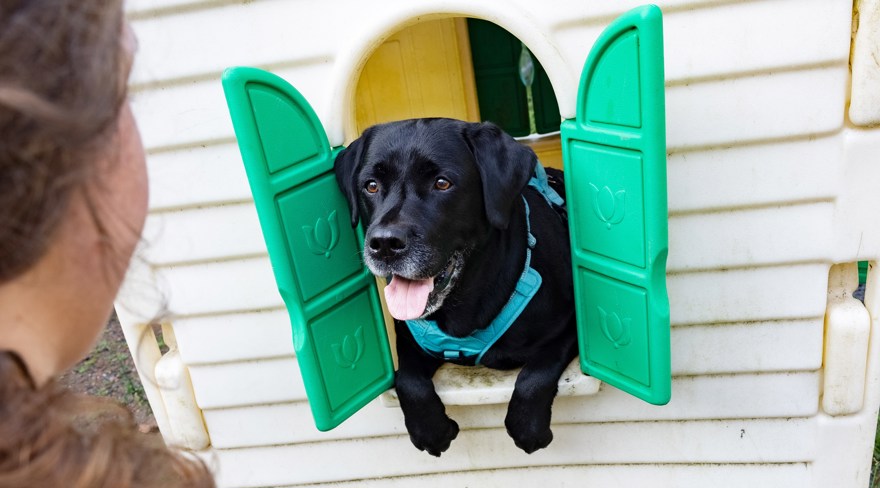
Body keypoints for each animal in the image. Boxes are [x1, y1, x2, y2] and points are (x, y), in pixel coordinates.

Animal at [332, 117, 576, 454]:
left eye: (442, 183)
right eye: (371, 185)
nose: (384, 245)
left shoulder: (569, 327)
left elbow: (535, 373)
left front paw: (528, 429)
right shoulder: (407, 339)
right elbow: (407, 380)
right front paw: (431, 431)